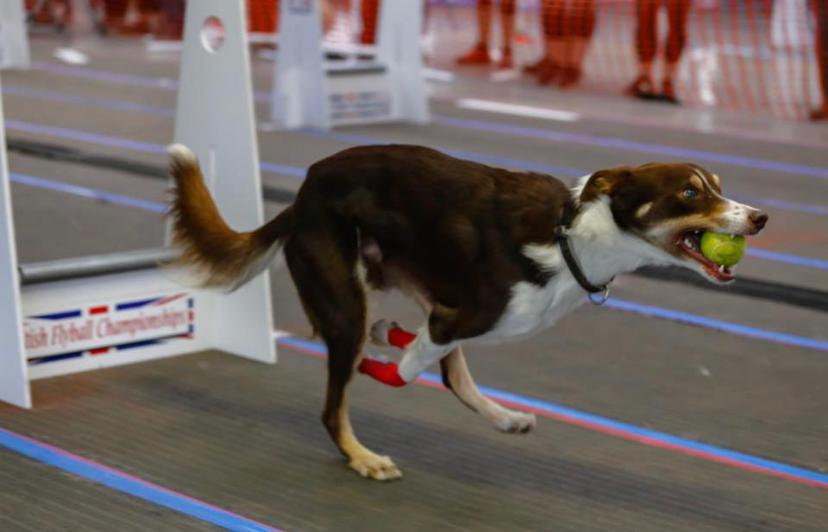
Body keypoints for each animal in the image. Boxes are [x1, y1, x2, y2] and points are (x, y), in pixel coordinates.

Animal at [168, 143, 768, 480]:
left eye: (717, 187)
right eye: (690, 194)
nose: (760, 217)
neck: (572, 238)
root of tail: (302, 194)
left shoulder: (451, 314)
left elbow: (430, 363)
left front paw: (393, 339)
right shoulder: (455, 317)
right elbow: (407, 372)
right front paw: (383, 361)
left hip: (425, 284)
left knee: (451, 373)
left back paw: (500, 414)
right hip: (347, 304)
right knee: (336, 403)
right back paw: (362, 454)